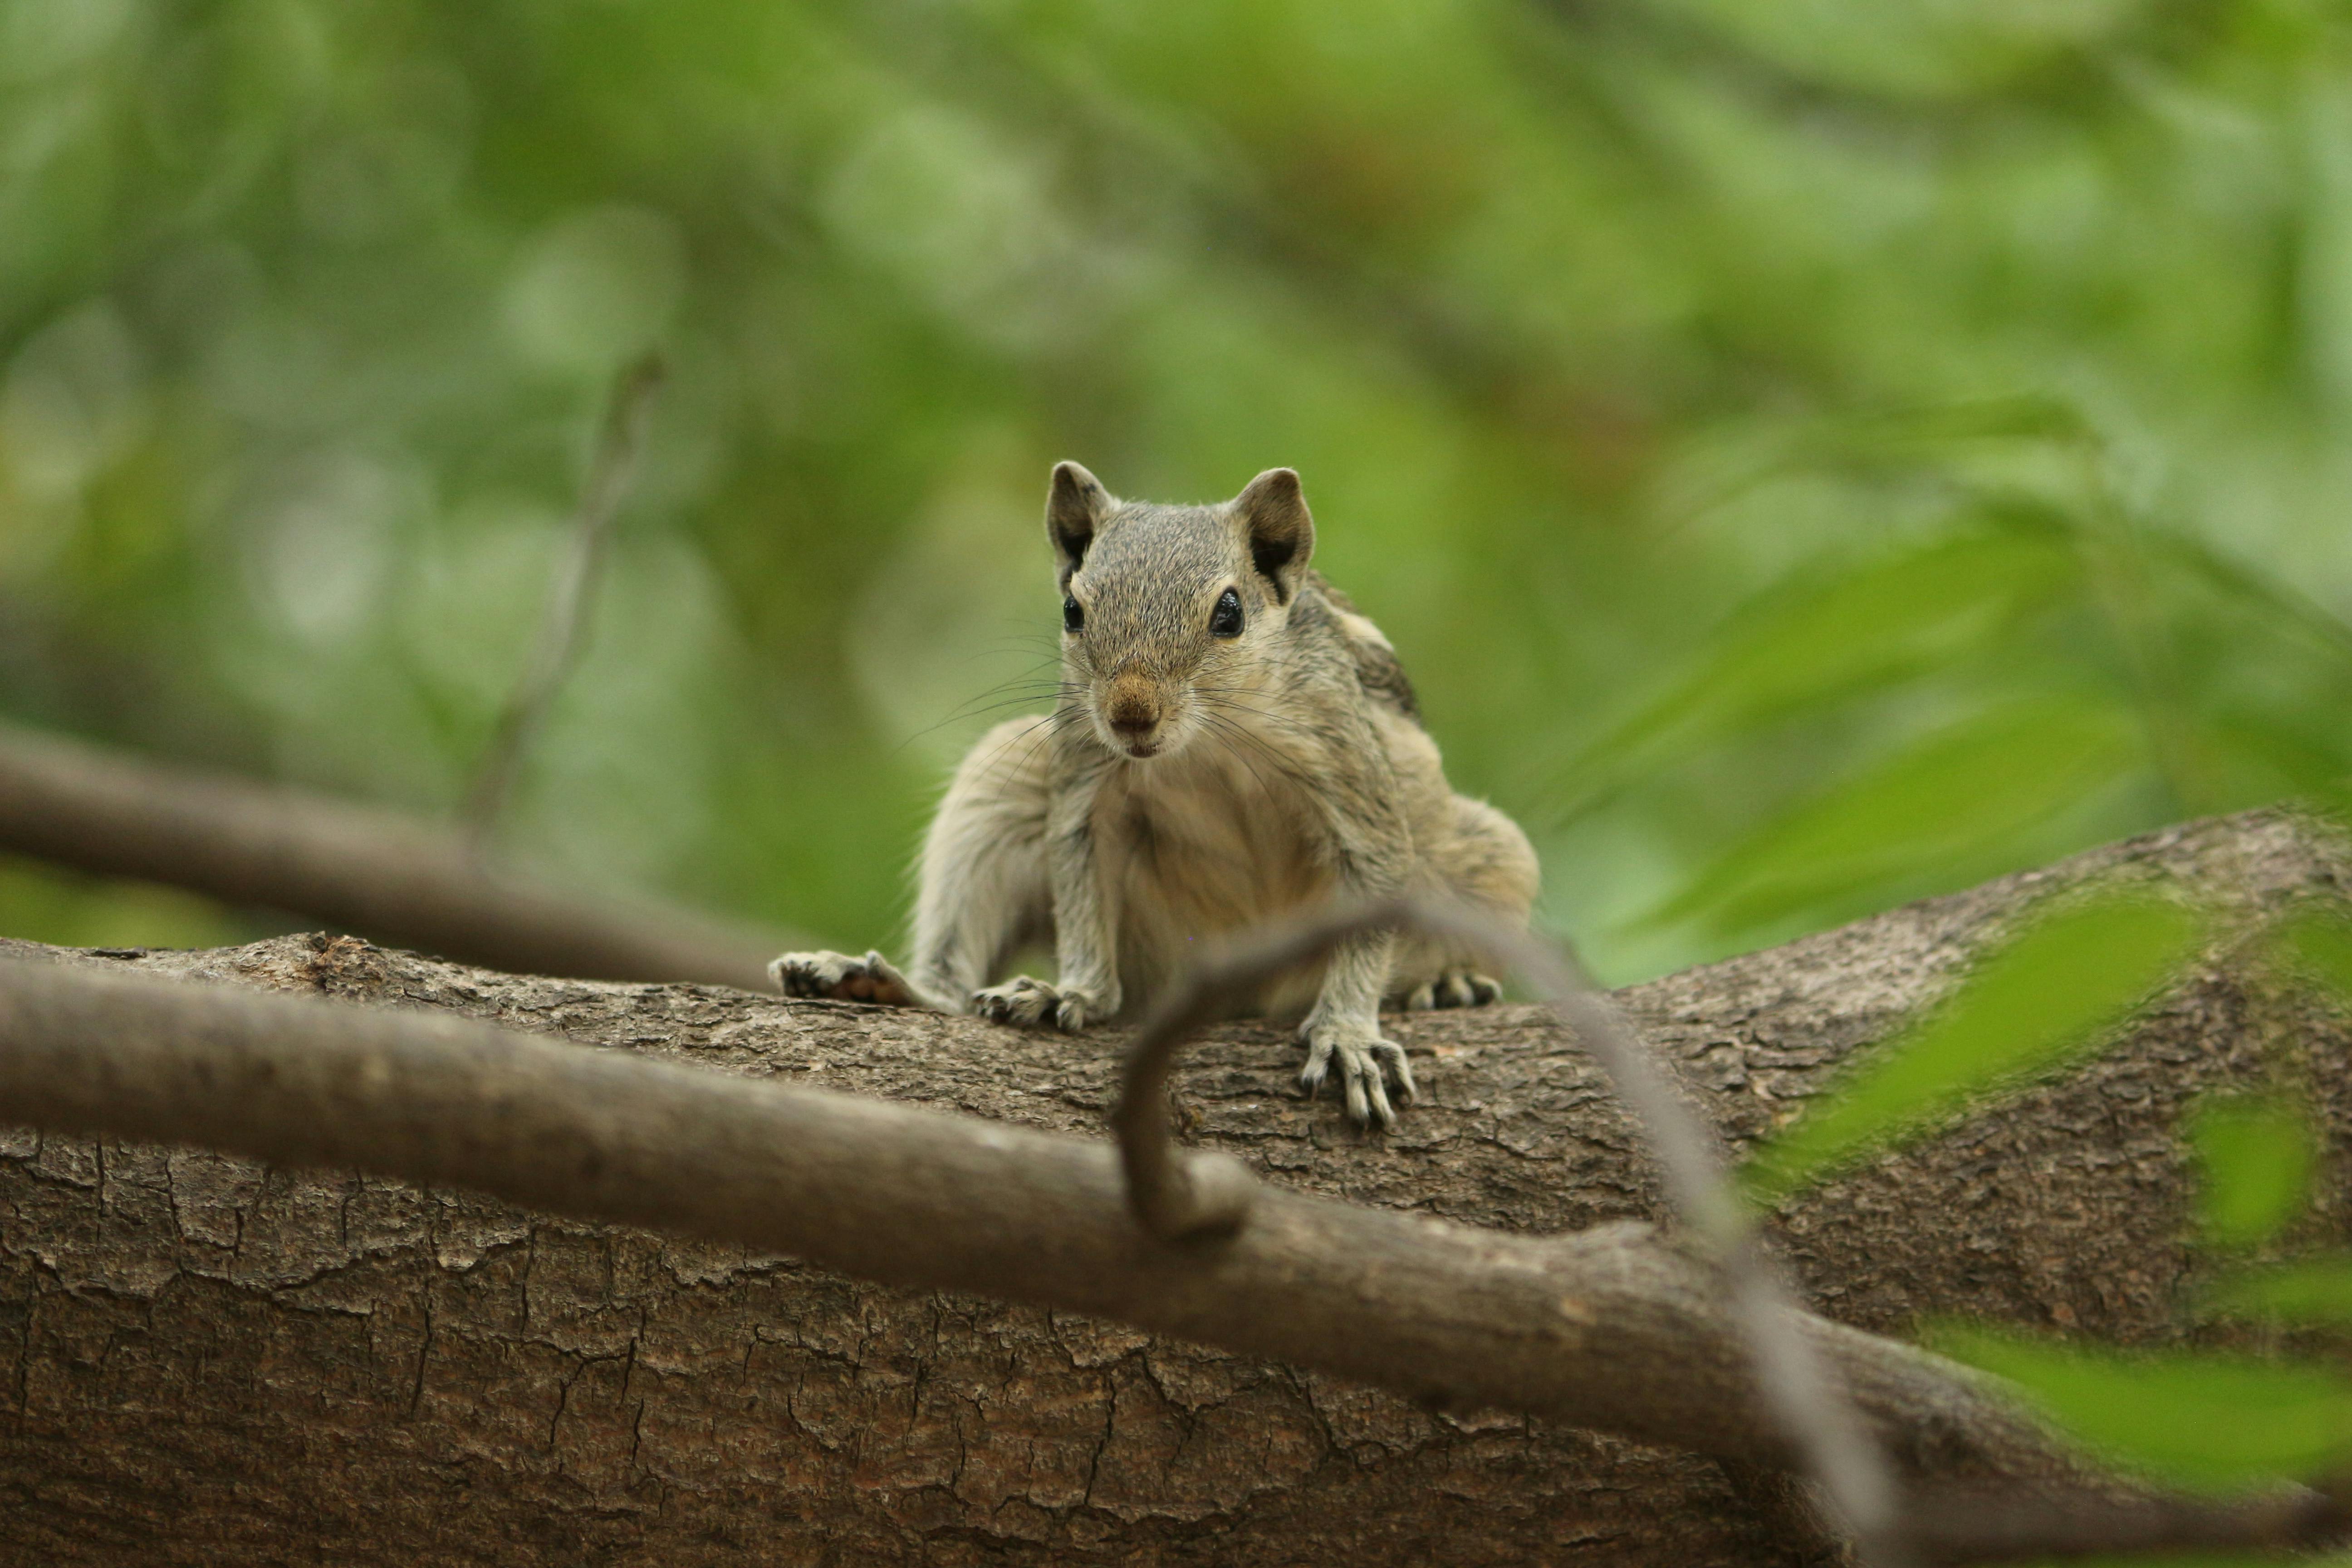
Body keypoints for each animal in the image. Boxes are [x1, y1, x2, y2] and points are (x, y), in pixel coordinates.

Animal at [772, 463, 1539, 1127]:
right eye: (1073, 609)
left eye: (1230, 611)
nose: (1130, 713)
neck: (1201, 749)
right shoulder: (1084, 787)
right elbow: (1080, 883)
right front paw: (1072, 991)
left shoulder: (1352, 777)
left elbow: (1375, 889)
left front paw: (1349, 1034)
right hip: (998, 788)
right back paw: (884, 985)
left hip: (1489, 856)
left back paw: (1448, 983)